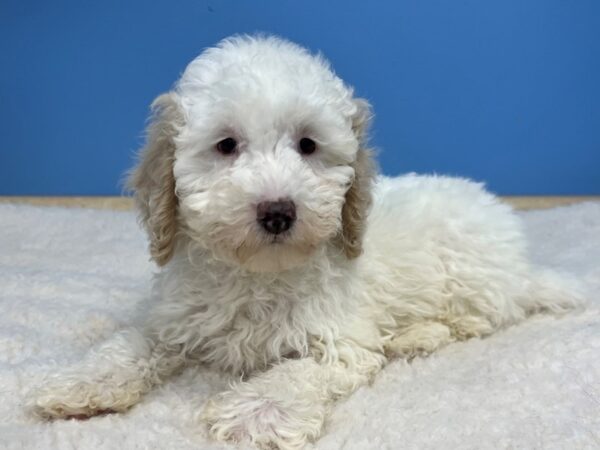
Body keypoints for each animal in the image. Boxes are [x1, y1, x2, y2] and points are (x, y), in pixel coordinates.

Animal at [29, 36, 580, 450]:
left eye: (308, 145)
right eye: (226, 145)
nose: (278, 211)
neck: (256, 273)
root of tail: (521, 263)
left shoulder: (341, 339)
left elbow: (297, 371)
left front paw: (257, 413)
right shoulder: (172, 316)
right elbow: (129, 344)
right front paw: (82, 383)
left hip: (469, 274)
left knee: (479, 320)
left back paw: (417, 336)